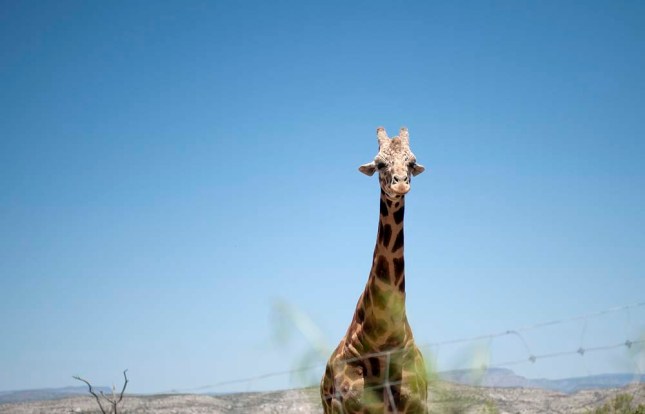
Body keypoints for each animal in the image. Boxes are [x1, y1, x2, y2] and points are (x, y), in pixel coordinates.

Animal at [320, 127, 428, 414]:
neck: (385, 337)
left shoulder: (418, 405)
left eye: (411, 162)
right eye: (380, 163)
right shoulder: (349, 407)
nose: (400, 184)